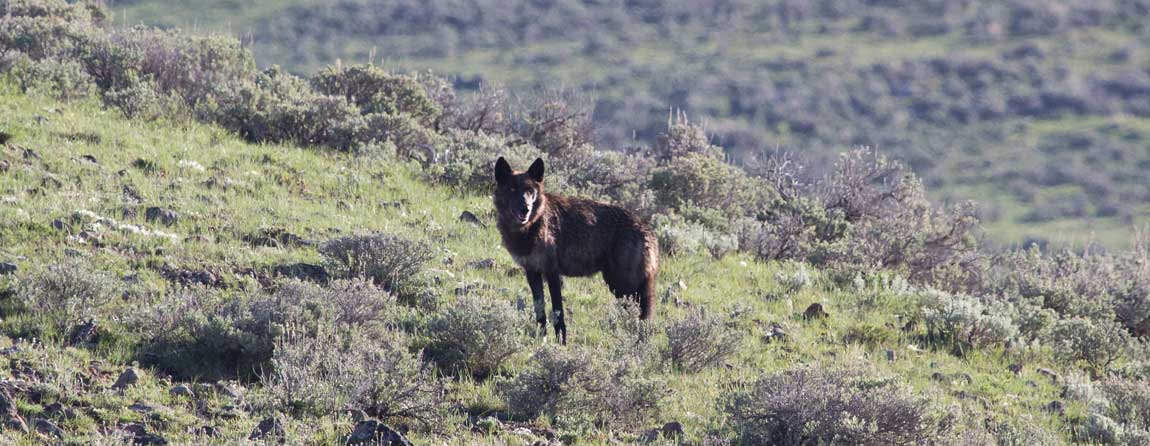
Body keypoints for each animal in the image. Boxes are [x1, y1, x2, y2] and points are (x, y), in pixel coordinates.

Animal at [492, 157, 662, 344]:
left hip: (622, 286)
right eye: (512, 189)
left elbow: (558, 313)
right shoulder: (532, 273)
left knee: (641, 315)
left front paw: (561, 344)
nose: (526, 209)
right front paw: (541, 340)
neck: (530, 228)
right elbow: (540, 312)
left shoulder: (552, 273)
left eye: (530, 191)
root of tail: (648, 230)